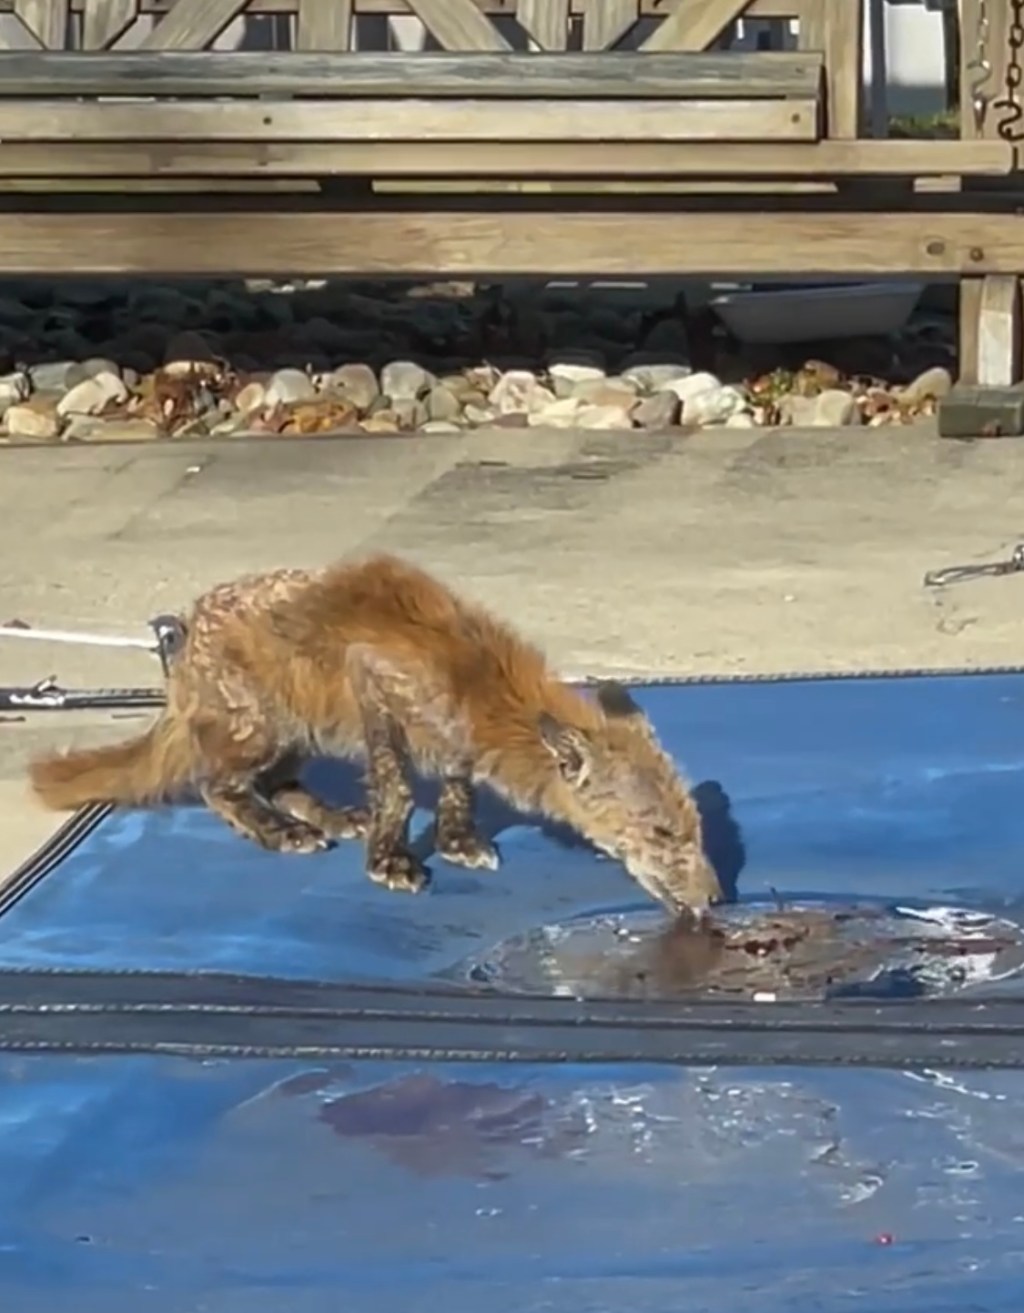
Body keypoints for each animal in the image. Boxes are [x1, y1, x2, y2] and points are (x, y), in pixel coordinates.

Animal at [27, 553, 722, 916]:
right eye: (662, 834)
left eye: (695, 828)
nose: (716, 899)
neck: (476, 679)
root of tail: (185, 638)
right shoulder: (375, 688)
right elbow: (400, 792)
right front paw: (392, 862)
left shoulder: (450, 739)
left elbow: (457, 788)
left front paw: (458, 842)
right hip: (262, 727)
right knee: (217, 785)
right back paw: (283, 831)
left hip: (299, 733)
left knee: (281, 782)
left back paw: (332, 816)